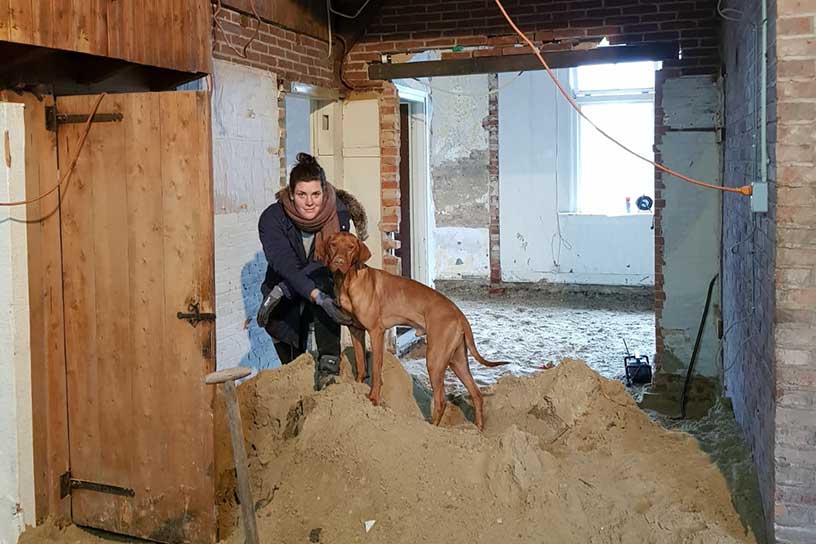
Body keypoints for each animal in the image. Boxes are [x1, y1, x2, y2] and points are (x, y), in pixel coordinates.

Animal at [326, 230, 510, 430]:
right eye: (333, 244)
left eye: (351, 247)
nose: (338, 261)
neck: (348, 281)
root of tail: (459, 313)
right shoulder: (355, 330)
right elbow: (360, 365)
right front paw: (357, 389)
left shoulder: (376, 332)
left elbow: (375, 370)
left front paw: (373, 399)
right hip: (457, 360)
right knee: (476, 394)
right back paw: (477, 429)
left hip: (435, 359)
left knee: (441, 400)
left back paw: (433, 427)